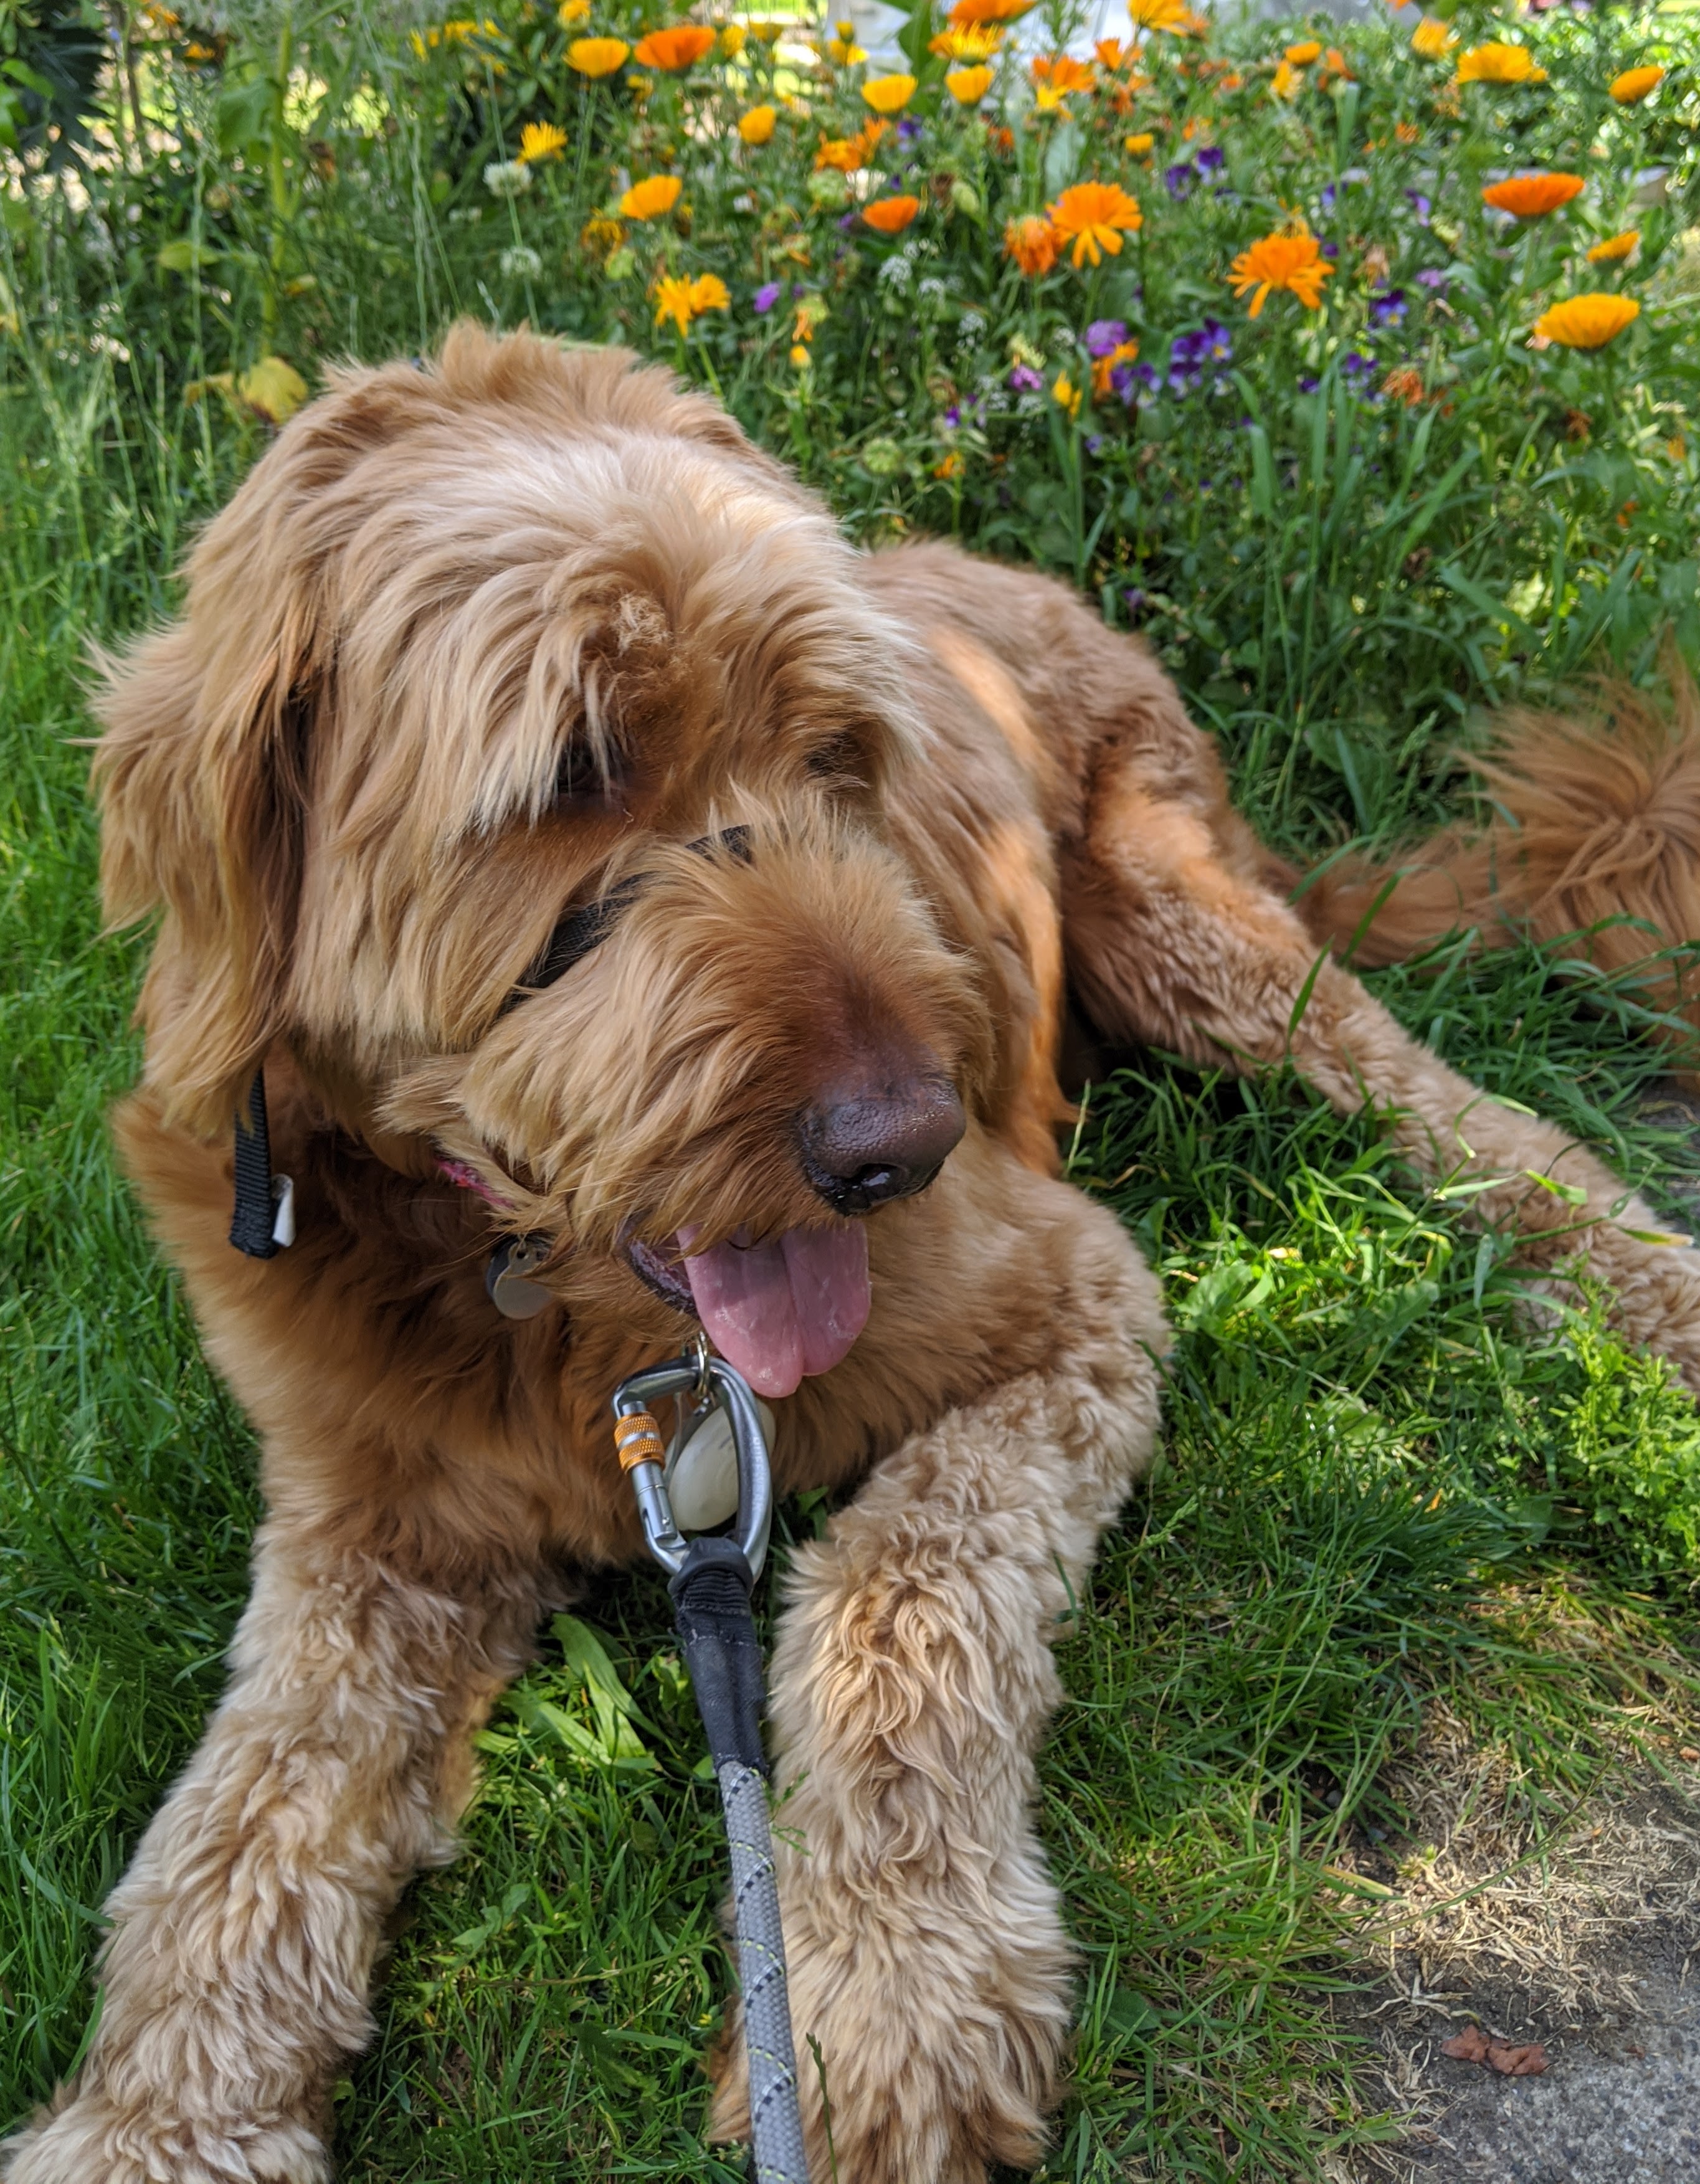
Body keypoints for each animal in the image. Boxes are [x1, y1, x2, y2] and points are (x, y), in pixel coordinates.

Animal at [10, 322, 1700, 2184]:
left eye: (834, 750)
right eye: (570, 768)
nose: (901, 1146)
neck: (536, 1288)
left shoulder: (1070, 1298)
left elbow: (902, 1597)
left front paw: (890, 1994)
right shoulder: (362, 1518)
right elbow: (247, 1813)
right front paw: (154, 2116)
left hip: (1200, 943)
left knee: (1471, 1118)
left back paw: (1646, 1293)